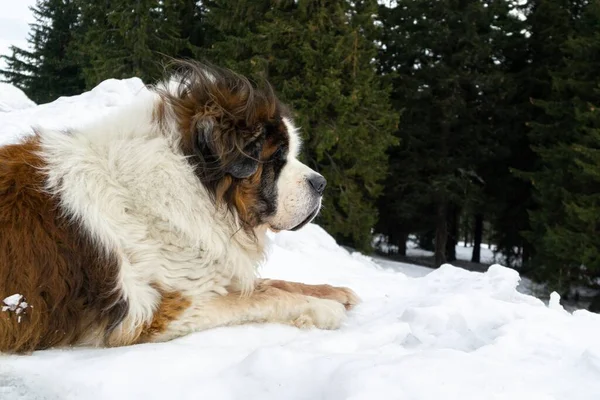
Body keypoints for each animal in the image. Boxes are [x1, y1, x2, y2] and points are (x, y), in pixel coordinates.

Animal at [0, 61, 358, 352]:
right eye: (276, 157)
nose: (321, 183)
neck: (190, 179)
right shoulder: (163, 310)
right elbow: (261, 297)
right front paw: (323, 309)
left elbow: (270, 284)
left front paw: (333, 291)